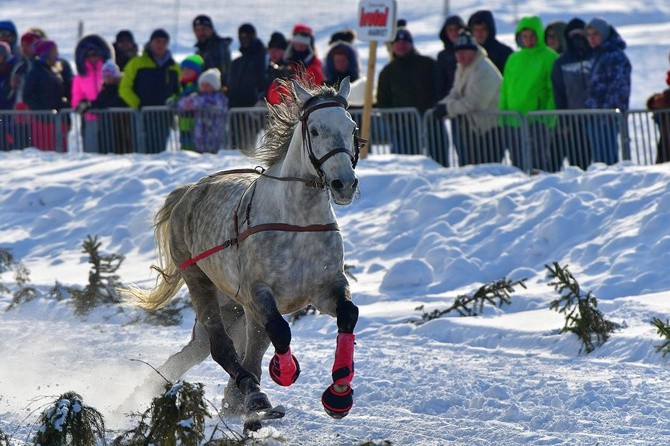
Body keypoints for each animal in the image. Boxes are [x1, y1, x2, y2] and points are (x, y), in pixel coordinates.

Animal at [128, 78, 364, 424]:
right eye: (316, 130)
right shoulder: (259, 291)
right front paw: (283, 372)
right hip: (201, 280)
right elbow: (280, 331)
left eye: (352, 127)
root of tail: (188, 192)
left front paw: (340, 394)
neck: (298, 222)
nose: (343, 184)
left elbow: (348, 314)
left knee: (207, 349)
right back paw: (250, 391)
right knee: (220, 345)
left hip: (234, 305)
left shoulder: (325, 286)